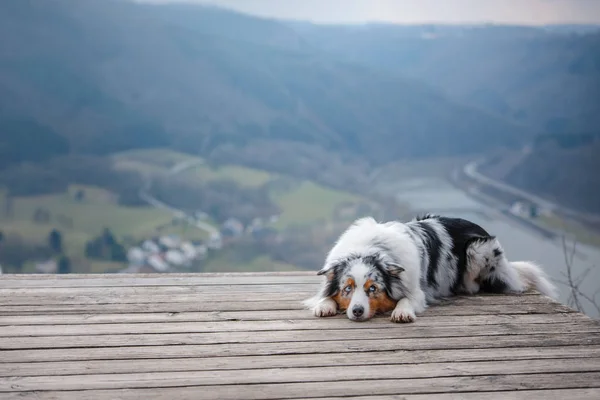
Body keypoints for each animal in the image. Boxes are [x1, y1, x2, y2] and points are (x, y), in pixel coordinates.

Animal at [304, 214, 556, 324]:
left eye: (373, 288)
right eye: (347, 289)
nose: (357, 311)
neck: (369, 248)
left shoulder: (417, 290)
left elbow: (407, 299)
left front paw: (402, 312)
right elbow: (324, 296)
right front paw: (324, 305)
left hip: (477, 248)